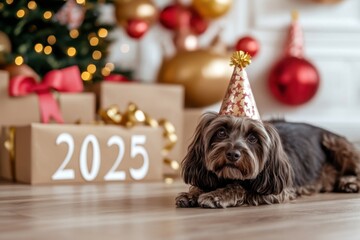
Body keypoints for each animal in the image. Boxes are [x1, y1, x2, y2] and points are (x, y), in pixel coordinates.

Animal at [175, 112, 360, 208]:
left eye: (252, 138)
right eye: (221, 132)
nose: (233, 154)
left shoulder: (279, 190)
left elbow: (241, 187)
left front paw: (217, 195)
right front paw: (192, 194)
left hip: (337, 145)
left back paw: (349, 182)